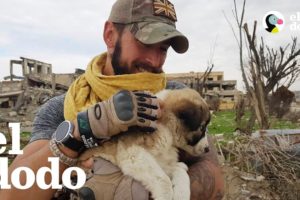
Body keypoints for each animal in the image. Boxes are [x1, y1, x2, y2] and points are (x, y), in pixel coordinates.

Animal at [78, 88, 210, 199]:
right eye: (202, 128)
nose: (207, 149)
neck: (165, 128)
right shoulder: (132, 154)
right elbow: (163, 180)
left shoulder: (162, 161)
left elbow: (180, 171)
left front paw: (181, 193)